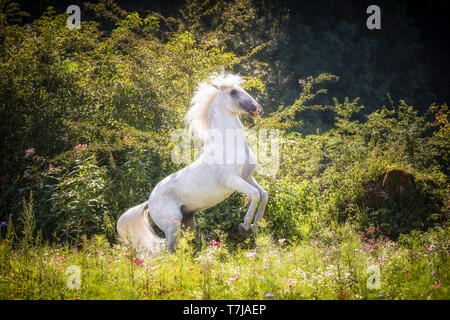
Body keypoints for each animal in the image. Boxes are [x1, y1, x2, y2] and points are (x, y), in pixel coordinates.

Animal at [118, 73, 268, 255]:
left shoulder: (247, 178)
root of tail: (149, 202)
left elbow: (263, 195)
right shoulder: (232, 180)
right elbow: (255, 194)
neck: (230, 145)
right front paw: (244, 227)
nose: (256, 108)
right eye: (233, 91)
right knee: (166, 251)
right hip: (172, 225)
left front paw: (255, 226)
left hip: (187, 223)